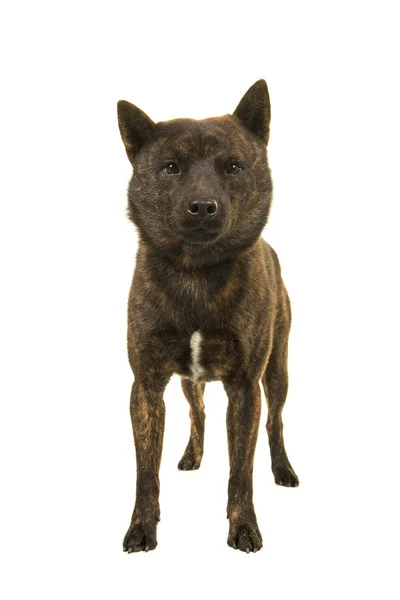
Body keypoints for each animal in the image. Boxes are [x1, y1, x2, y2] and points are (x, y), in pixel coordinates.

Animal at [117, 79, 298, 552]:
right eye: (170, 168)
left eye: (233, 167)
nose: (202, 206)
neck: (196, 272)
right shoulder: (146, 386)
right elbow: (145, 473)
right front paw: (142, 527)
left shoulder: (246, 388)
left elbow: (241, 471)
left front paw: (244, 526)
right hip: (188, 382)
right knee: (197, 414)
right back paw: (191, 455)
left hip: (277, 371)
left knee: (275, 422)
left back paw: (284, 469)